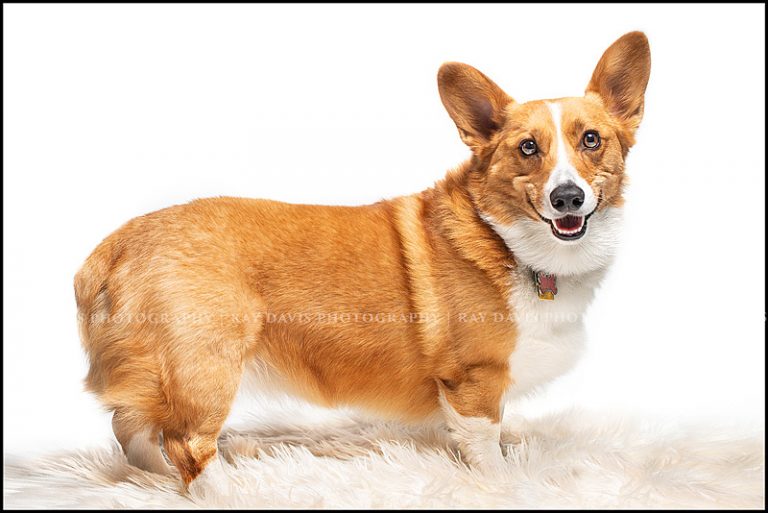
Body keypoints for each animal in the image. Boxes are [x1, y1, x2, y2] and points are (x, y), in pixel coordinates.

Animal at [73, 31, 648, 488]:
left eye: (591, 140)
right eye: (528, 148)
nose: (568, 198)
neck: (508, 240)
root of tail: (114, 244)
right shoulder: (475, 379)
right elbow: (485, 444)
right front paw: (503, 484)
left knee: (131, 428)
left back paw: (152, 479)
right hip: (205, 366)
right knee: (186, 444)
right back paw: (227, 492)